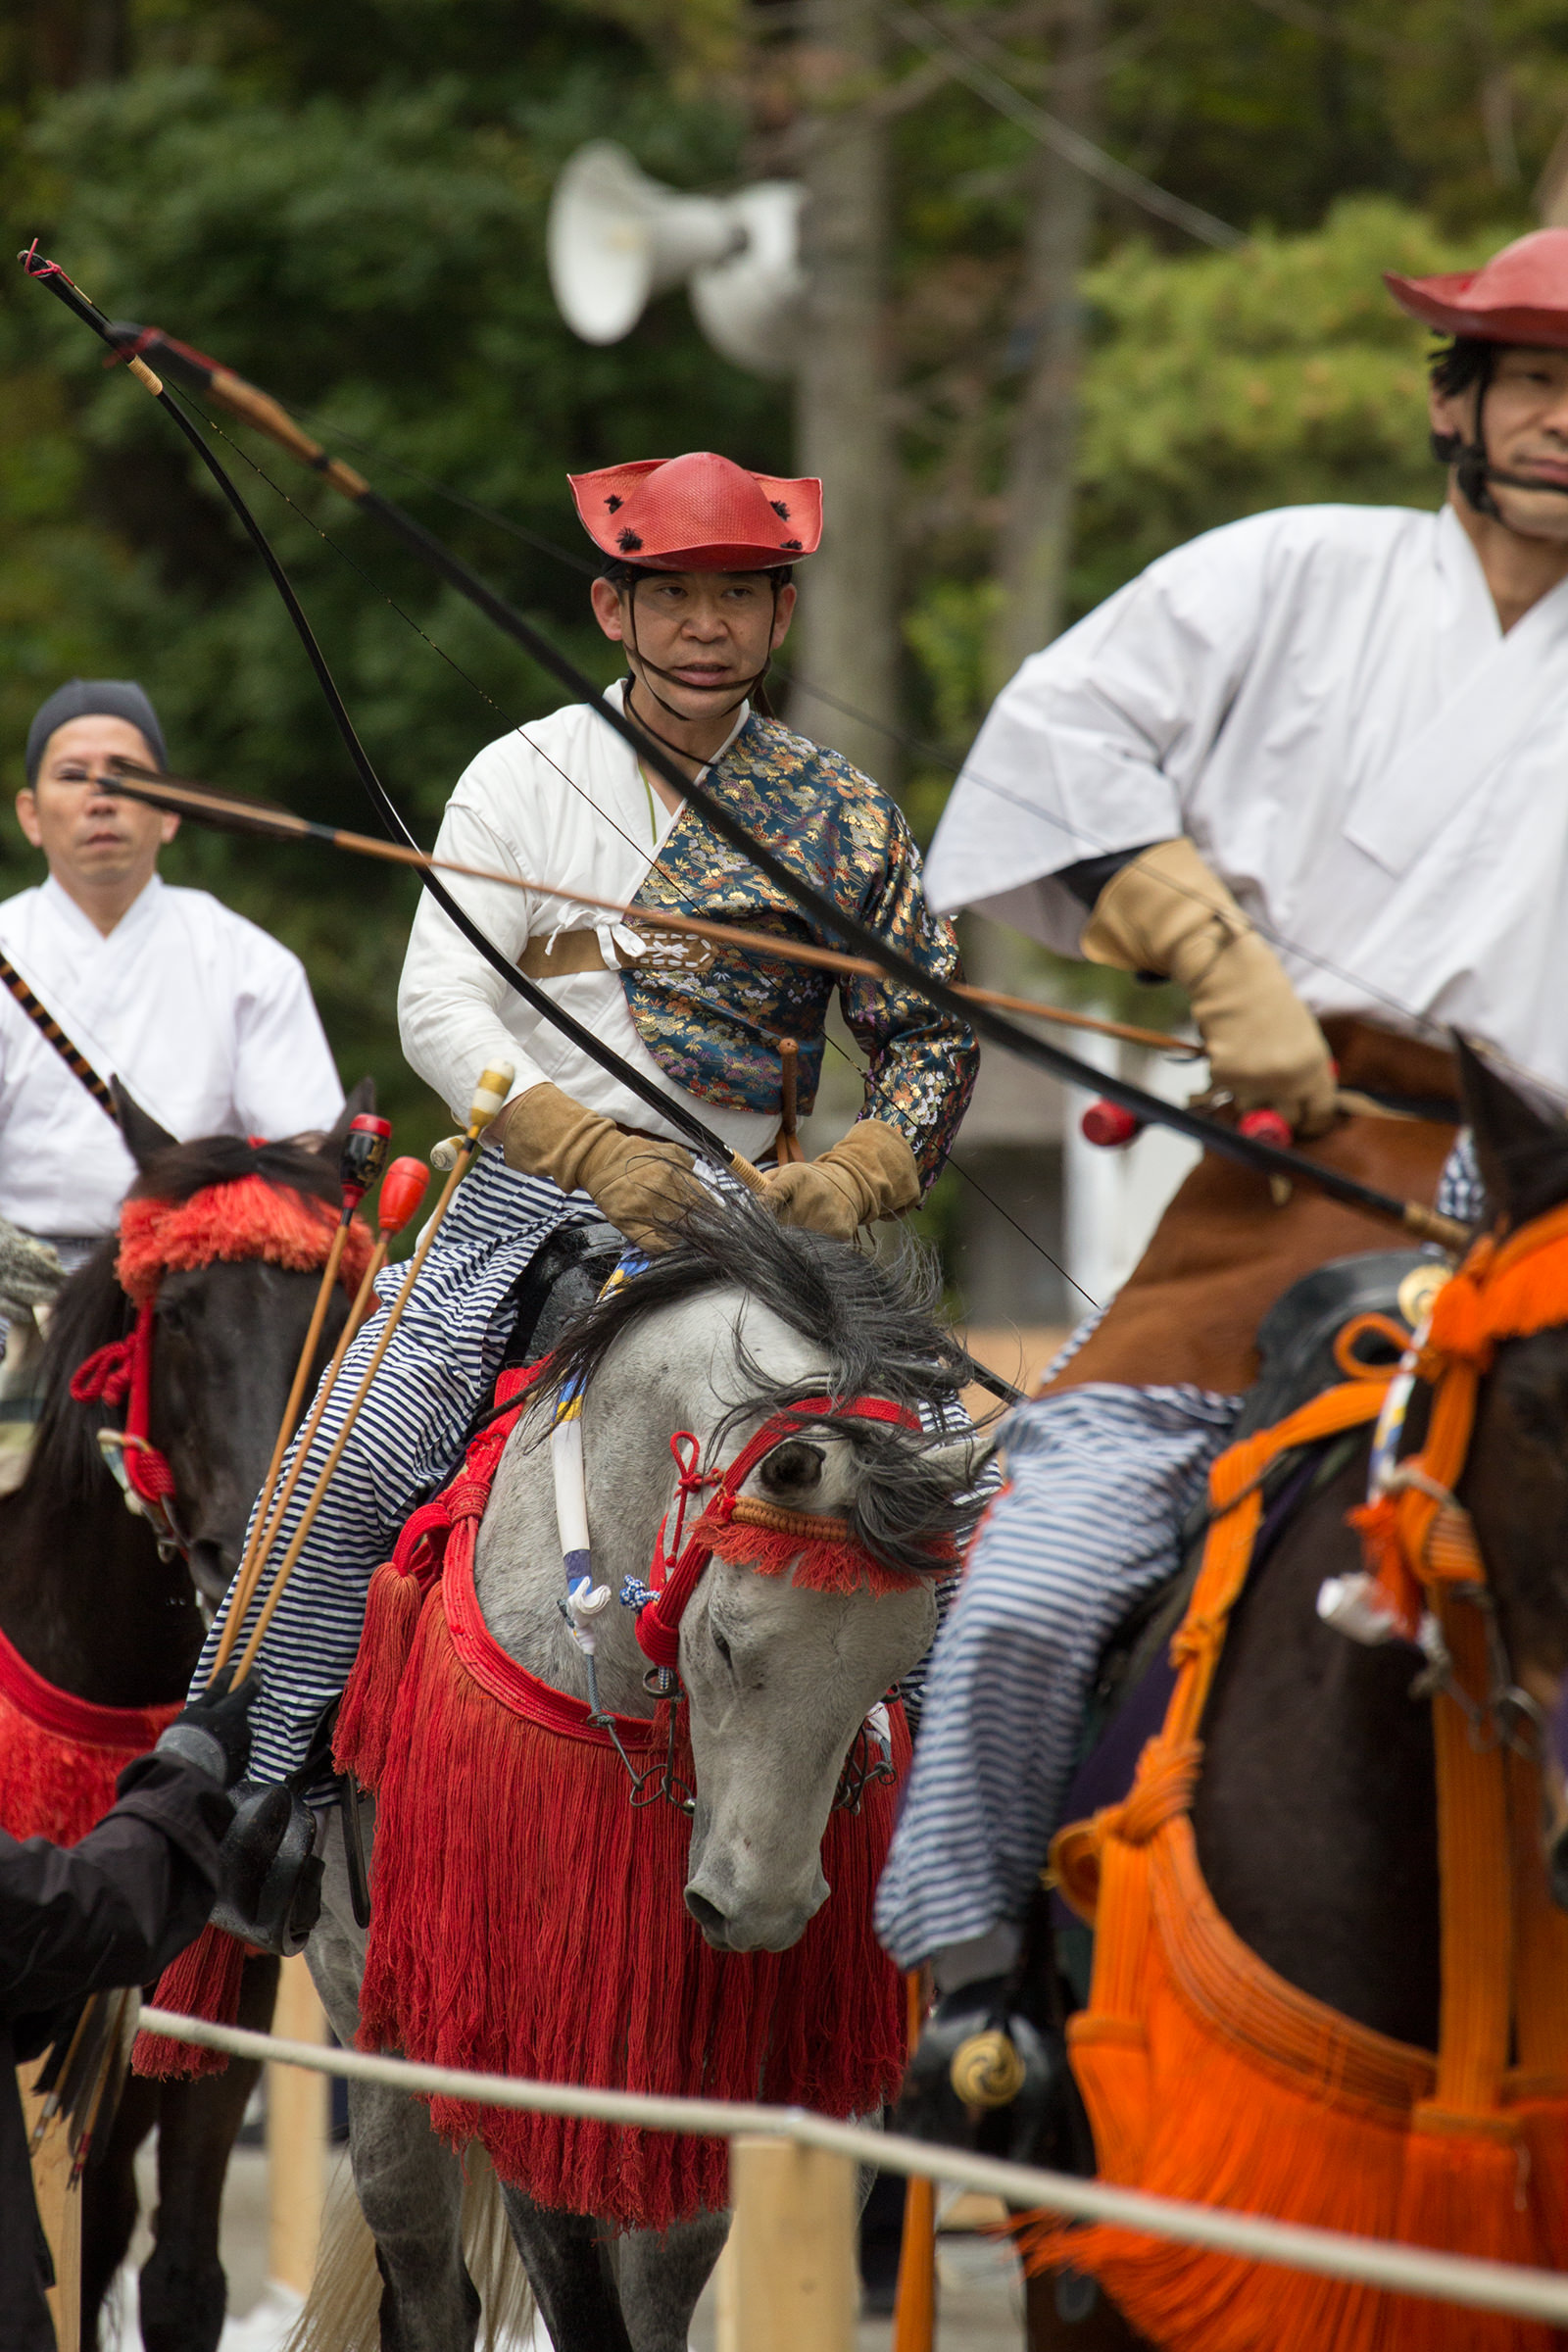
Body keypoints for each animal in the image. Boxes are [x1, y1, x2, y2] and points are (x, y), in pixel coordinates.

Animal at [305, 1203, 982, 2342]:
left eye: (894, 1664)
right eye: (725, 1645)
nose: (758, 1909)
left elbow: (664, 2280)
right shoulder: (525, 2019)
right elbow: (580, 2294)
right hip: (368, 2012)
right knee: (426, 2281)